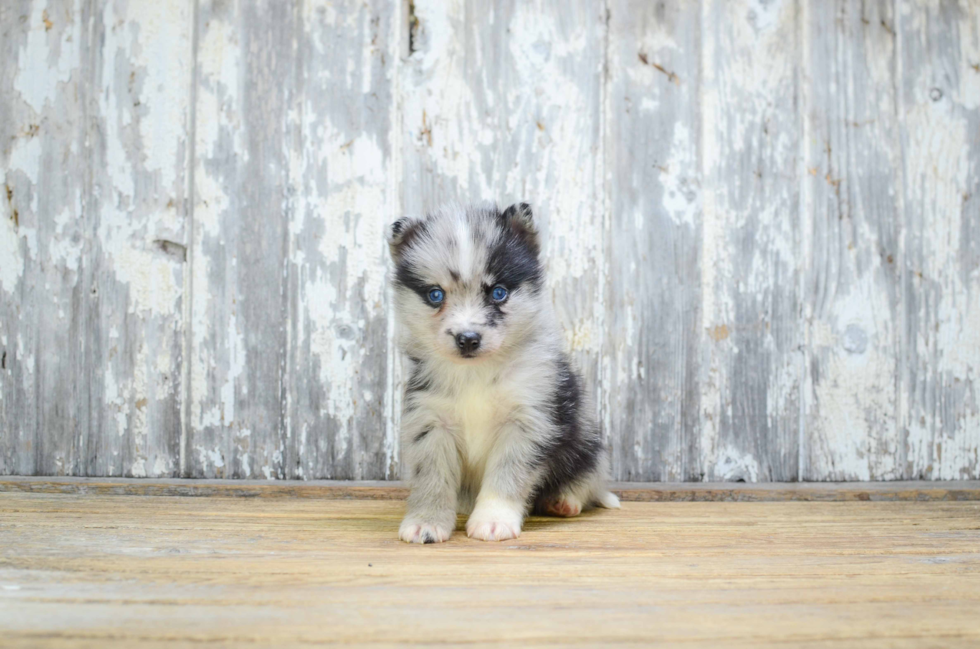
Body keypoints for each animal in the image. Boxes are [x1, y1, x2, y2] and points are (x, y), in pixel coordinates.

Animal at [386, 201, 616, 540]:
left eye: (498, 293)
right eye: (435, 295)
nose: (468, 339)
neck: (476, 374)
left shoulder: (527, 421)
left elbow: (506, 476)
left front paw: (494, 520)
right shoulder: (431, 421)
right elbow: (432, 478)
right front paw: (426, 521)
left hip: (587, 444)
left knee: (589, 480)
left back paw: (564, 501)